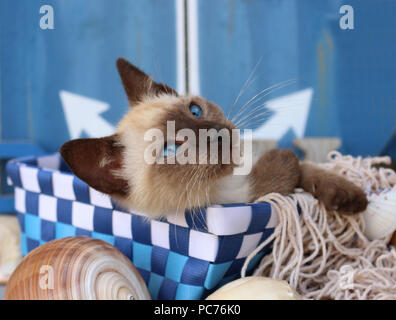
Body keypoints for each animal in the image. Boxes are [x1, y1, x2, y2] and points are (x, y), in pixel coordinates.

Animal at [59, 57, 368, 219]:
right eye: (170, 150)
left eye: (195, 110)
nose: (217, 134)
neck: (229, 180)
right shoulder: (244, 200)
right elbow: (281, 173)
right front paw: (283, 157)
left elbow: (309, 168)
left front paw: (349, 198)